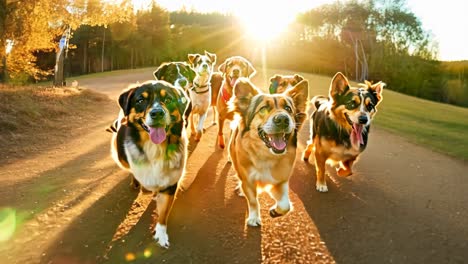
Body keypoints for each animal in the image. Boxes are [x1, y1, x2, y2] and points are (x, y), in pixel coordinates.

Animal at [109, 80, 190, 248]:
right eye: (140, 100)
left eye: (168, 99)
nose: (157, 113)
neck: (155, 147)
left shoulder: (170, 183)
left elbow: (164, 211)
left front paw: (161, 234)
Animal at [229, 77, 308, 226]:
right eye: (264, 108)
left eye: (288, 109)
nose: (282, 119)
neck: (266, 155)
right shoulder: (248, 180)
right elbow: (253, 201)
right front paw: (254, 218)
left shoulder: (280, 180)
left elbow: (285, 204)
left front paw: (275, 211)